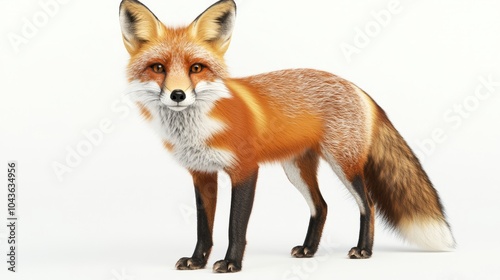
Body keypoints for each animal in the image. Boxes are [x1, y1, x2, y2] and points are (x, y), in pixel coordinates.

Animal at [119, 0, 456, 274]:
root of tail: (356, 87)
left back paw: (364, 250)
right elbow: (204, 228)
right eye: (158, 68)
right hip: (296, 170)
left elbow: (234, 225)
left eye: (196, 68)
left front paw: (231, 263)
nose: (178, 95)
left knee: (368, 204)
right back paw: (309, 250)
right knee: (321, 206)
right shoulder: (202, 174)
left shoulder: (245, 170)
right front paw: (197, 261)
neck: (199, 128)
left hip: (344, 164)